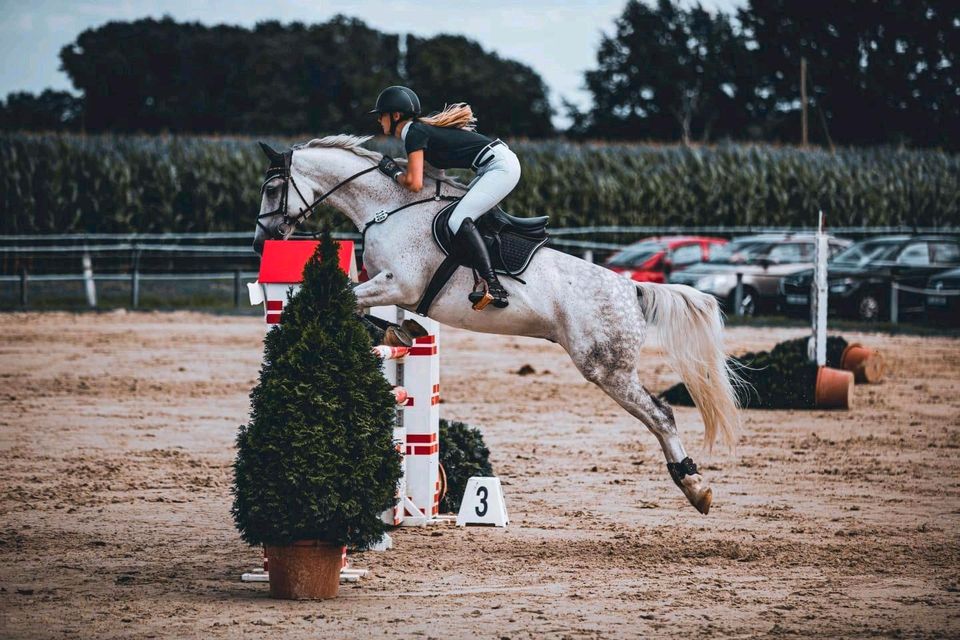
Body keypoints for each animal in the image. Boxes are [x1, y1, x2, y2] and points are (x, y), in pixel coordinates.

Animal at [251, 135, 740, 516]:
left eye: (273, 187)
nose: (260, 241)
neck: (387, 208)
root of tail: (631, 287)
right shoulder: (393, 289)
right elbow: (367, 310)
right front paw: (401, 333)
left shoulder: (398, 283)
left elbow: (348, 300)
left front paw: (392, 332)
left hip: (606, 369)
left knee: (661, 415)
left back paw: (695, 487)